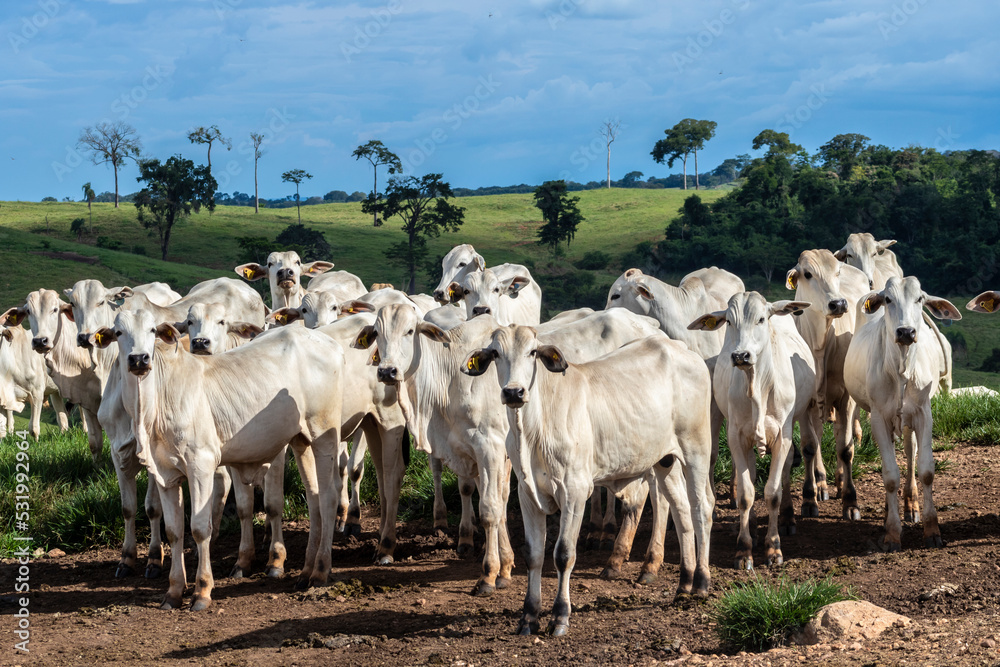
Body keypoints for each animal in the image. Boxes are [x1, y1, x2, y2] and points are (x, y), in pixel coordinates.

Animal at [93, 310, 345, 610]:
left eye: (153, 330)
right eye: (119, 332)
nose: (139, 359)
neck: (152, 409)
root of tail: (328, 342)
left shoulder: (200, 465)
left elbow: (200, 528)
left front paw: (202, 590)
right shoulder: (165, 475)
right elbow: (174, 530)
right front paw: (174, 591)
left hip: (324, 434)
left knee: (329, 497)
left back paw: (320, 570)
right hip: (300, 440)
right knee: (315, 497)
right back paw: (306, 572)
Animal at [459, 326, 713, 636]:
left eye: (533, 352)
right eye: (495, 353)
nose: (514, 391)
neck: (531, 432)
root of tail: (683, 350)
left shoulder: (575, 491)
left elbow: (563, 554)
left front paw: (560, 616)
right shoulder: (527, 495)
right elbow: (533, 554)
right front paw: (529, 617)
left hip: (696, 448)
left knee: (702, 508)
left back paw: (700, 583)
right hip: (665, 459)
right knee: (681, 510)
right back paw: (684, 584)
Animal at [689, 293, 816, 569]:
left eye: (761, 319)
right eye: (729, 321)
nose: (740, 355)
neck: (758, 385)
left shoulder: (782, 436)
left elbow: (773, 492)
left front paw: (774, 548)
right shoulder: (736, 437)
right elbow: (746, 494)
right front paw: (744, 549)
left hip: (802, 414)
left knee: (788, 468)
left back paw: (787, 518)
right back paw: (755, 529)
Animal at [786, 249, 869, 520]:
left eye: (837, 272)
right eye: (807, 274)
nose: (839, 304)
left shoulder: (846, 398)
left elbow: (845, 448)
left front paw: (851, 501)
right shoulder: (805, 402)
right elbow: (809, 446)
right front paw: (809, 498)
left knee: (840, 433)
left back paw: (841, 481)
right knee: (819, 436)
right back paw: (821, 482)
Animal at [843, 276, 961, 551]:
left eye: (920, 298)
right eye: (888, 299)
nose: (906, 332)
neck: (902, 369)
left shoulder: (923, 414)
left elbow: (926, 470)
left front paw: (932, 530)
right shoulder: (879, 418)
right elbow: (889, 476)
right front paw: (892, 533)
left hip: (908, 421)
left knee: (910, 453)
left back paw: (910, 504)